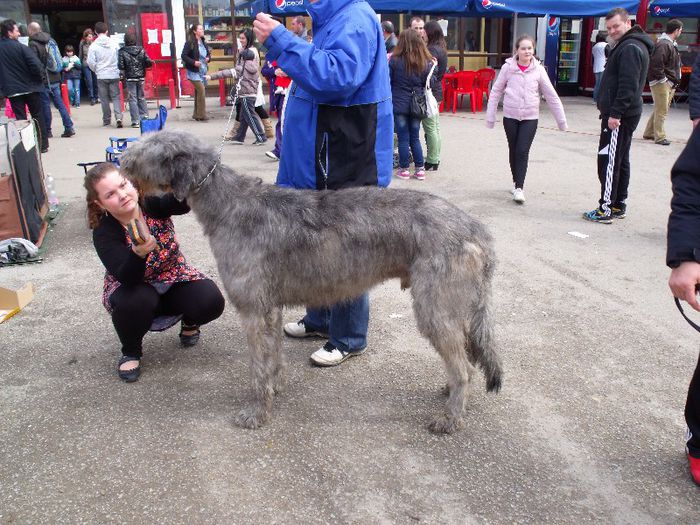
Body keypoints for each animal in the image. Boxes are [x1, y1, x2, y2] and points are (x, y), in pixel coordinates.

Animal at [121, 131, 504, 434]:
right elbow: (272, 353)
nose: (121, 162)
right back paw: (451, 393)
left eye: (145, 149)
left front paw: (257, 412)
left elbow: (256, 364)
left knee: (464, 367)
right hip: (455, 304)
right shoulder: (270, 309)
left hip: (434, 305)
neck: (228, 205)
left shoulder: (253, 310)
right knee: (463, 356)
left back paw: (450, 418)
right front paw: (276, 384)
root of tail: (477, 230)